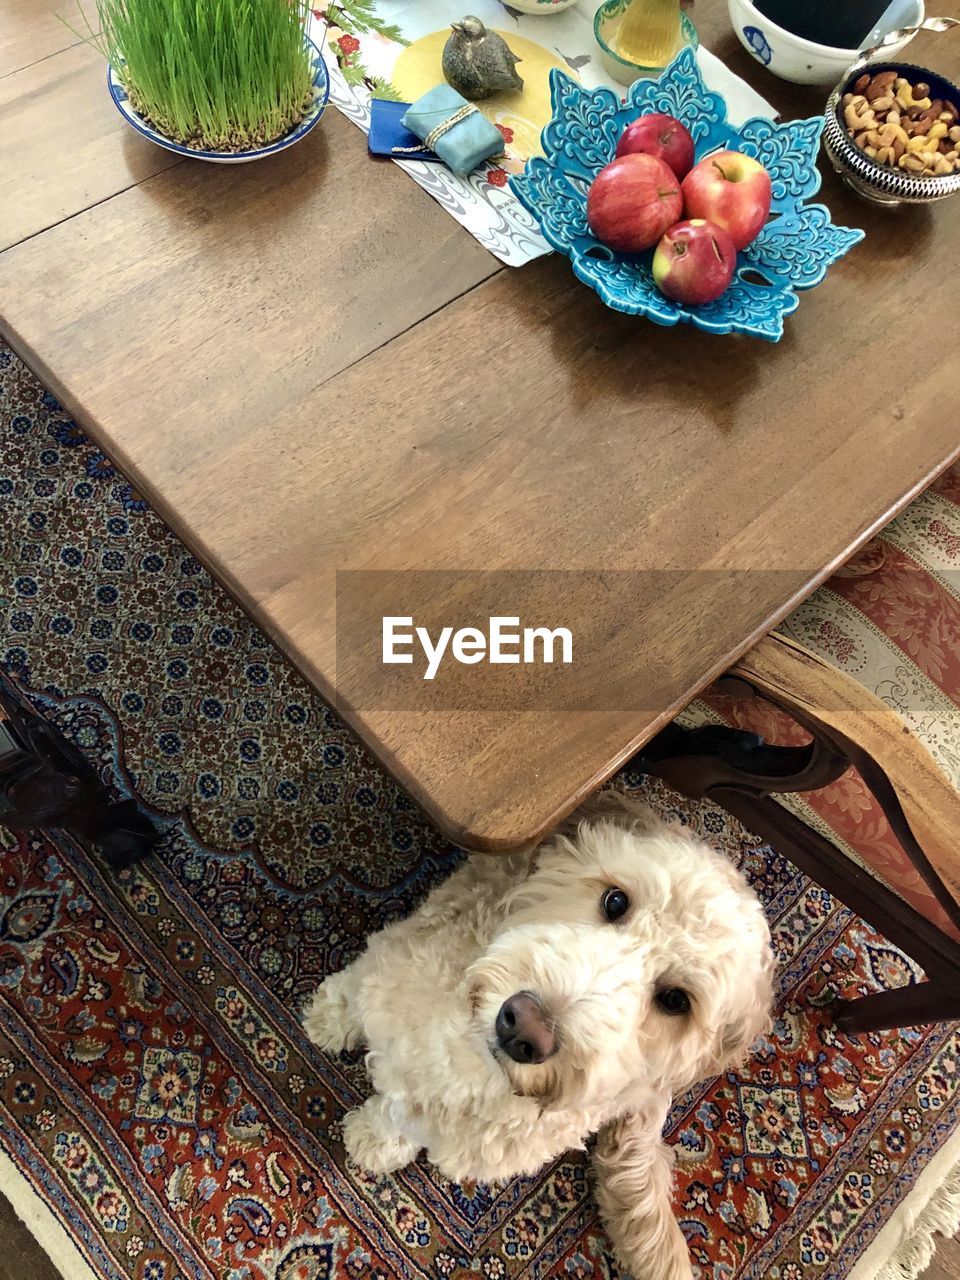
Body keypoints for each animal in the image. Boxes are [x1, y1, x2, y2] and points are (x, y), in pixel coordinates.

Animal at [302, 793, 773, 1274]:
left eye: (677, 1000)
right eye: (615, 901)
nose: (523, 1028)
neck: (473, 1058)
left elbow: (403, 1114)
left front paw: (378, 1139)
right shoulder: (396, 960)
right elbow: (359, 990)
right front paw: (331, 1017)